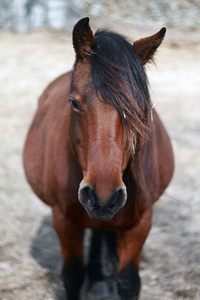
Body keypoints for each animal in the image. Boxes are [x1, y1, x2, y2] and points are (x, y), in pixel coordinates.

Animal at [23, 17, 173, 298]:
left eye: (141, 108)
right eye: (73, 102)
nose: (103, 197)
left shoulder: (141, 222)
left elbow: (128, 282)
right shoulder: (64, 221)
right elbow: (72, 276)